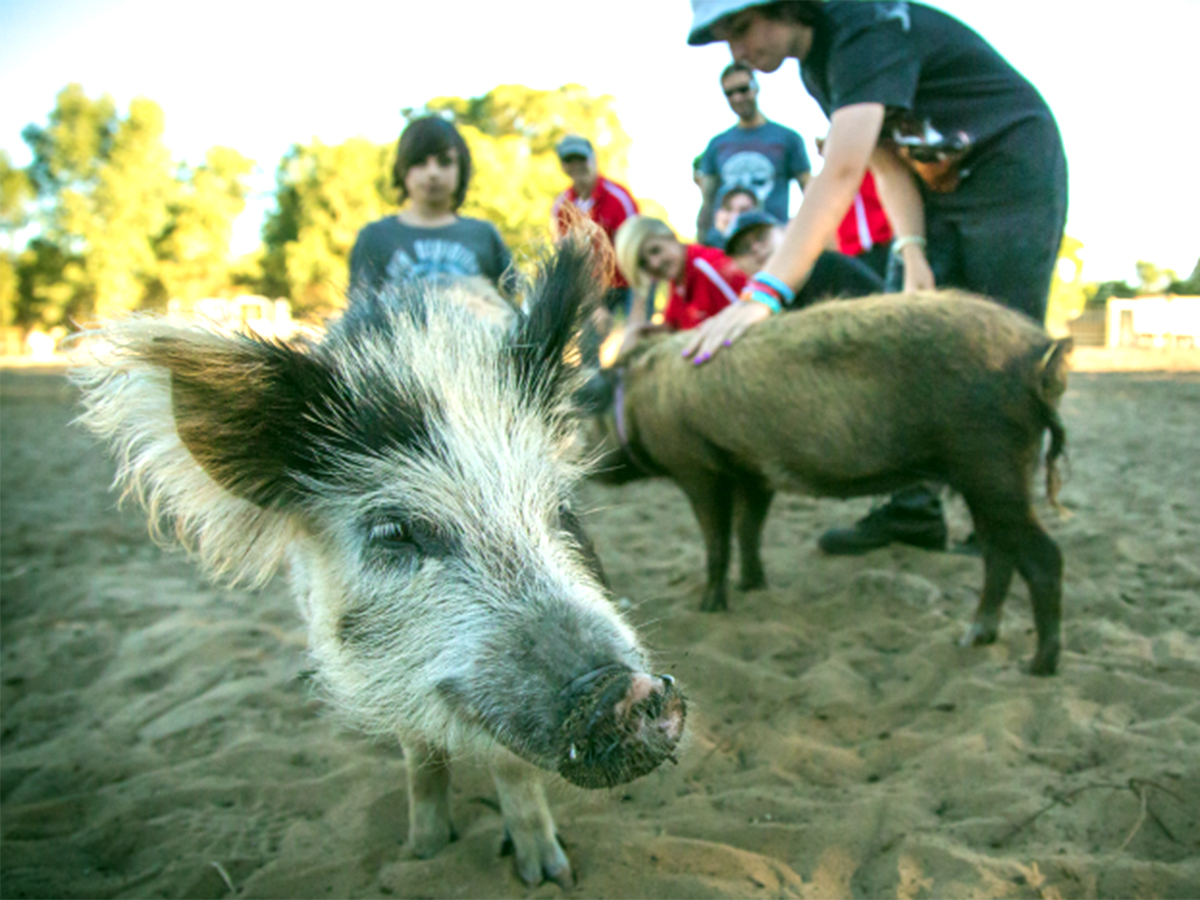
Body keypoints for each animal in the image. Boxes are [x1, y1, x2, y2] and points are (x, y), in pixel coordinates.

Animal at [72, 241, 686, 888]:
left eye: (562, 507)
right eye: (393, 532)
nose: (629, 687)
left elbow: (511, 767)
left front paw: (550, 876)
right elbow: (419, 757)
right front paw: (423, 852)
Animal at [585, 292, 1075, 681]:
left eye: (580, 417)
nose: (587, 475)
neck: (638, 398)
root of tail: (1042, 353)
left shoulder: (698, 469)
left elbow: (717, 542)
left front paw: (709, 608)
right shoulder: (755, 474)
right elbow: (749, 530)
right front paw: (753, 587)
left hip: (991, 465)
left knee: (1043, 556)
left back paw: (1039, 667)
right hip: (990, 477)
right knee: (999, 553)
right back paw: (975, 639)